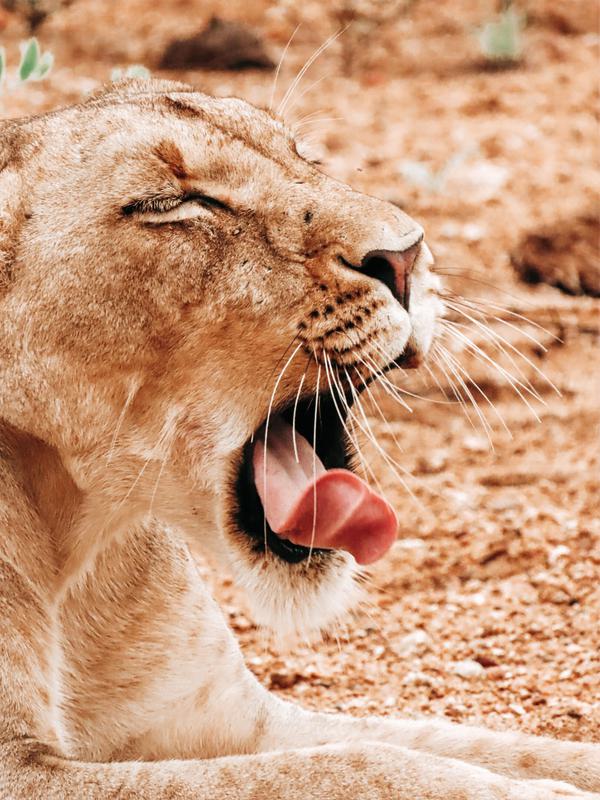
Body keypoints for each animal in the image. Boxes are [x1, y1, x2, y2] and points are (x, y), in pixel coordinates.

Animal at [0, 79, 598, 800]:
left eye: (303, 156)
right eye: (169, 204)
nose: (407, 254)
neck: (76, 545)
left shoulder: (232, 715)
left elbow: (461, 744)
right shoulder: (23, 769)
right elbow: (366, 765)